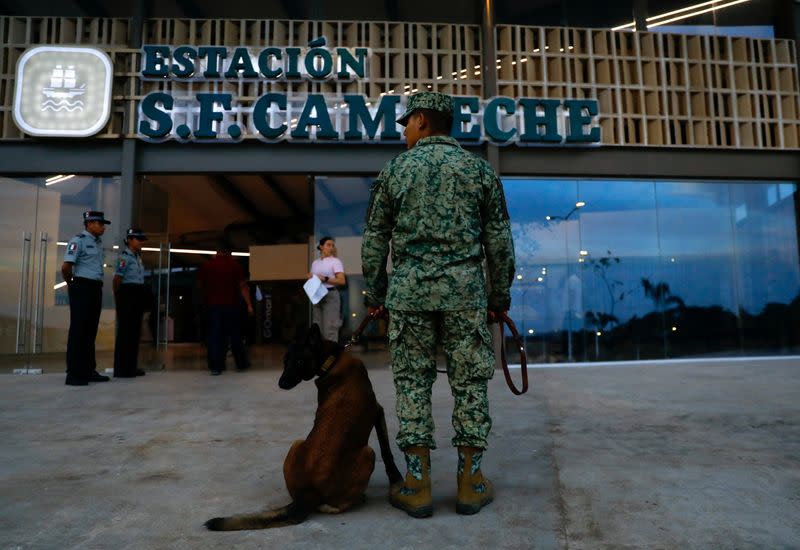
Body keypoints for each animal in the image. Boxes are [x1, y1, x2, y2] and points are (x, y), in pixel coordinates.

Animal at [203, 326, 404, 532]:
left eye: (299, 361)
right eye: (285, 361)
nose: (281, 384)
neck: (332, 361)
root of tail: (308, 494)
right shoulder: (378, 411)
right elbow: (386, 450)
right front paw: (395, 477)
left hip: (296, 443)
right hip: (368, 454)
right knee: (334, 506)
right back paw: (356, 499)